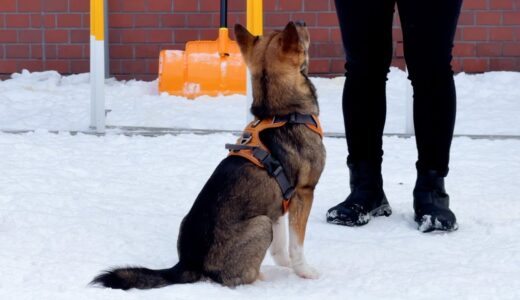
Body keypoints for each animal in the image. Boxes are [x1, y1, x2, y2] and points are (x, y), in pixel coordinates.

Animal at [91, 20, 322, 288]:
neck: (281, 113)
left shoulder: (279, 201)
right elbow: (297, 244)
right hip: (261, 224)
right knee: (233, 279)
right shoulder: (303, 193)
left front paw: (285, 264)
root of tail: (187, 264)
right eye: (300, 37)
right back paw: (260, 278)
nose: (302, 22)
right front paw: (304, 271)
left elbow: (281, 244)